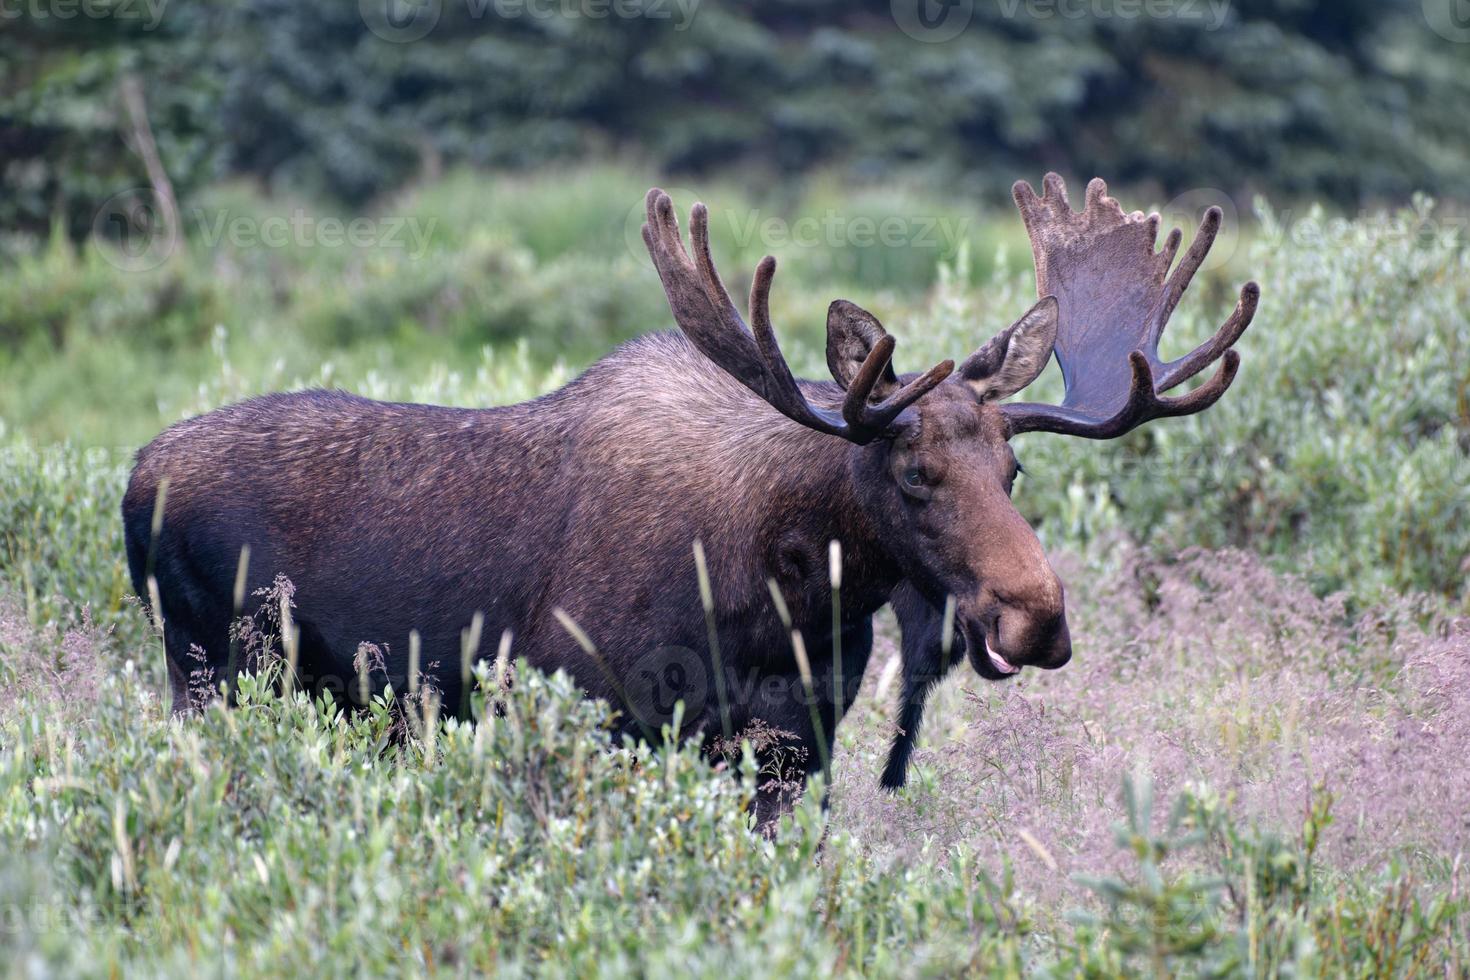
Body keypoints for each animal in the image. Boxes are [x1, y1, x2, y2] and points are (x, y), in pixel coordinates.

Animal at [123, 174, 1264, 822]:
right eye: (914, 472)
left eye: (1013, 471)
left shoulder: (793, 751)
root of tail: (131, 479)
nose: (1038, 616)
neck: (785, 600)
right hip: (213, 673)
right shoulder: (599, 717)